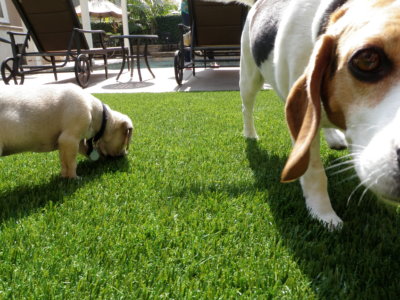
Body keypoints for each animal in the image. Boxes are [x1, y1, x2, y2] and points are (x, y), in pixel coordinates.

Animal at [0, 84, 134, 178]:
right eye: (125, 141)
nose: (124, 155)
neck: (101, 117)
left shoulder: (72, 142)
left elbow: (66, 162)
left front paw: (65, 177)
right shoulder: (70, 139)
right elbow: (72, 163)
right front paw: (74, 178)